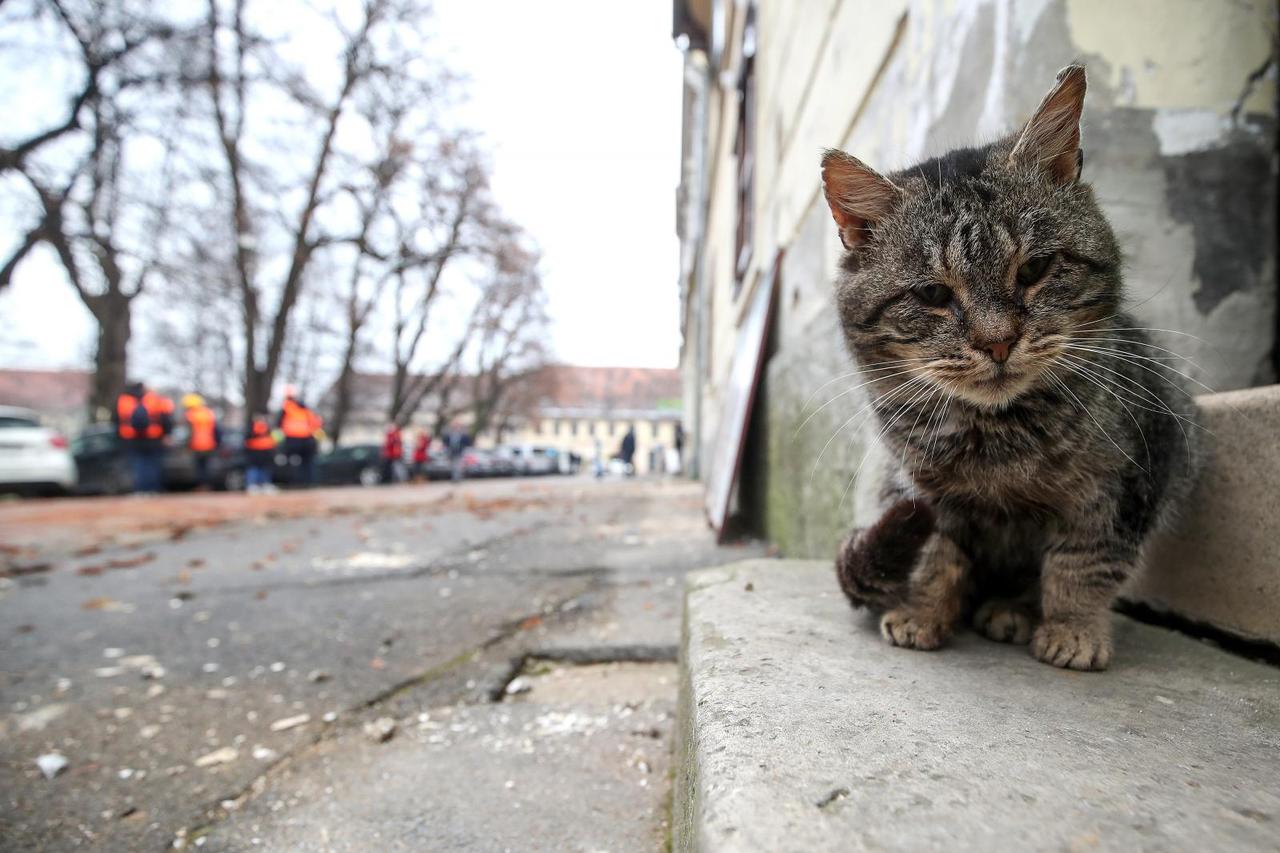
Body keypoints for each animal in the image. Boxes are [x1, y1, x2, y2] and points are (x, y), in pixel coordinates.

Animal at [819, 63, 1198, 666]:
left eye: (1035, 269)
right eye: (932, 294)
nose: (997, 342)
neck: (998, 440)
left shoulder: (1126, 479)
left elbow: (1083, 563)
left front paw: (1073, 631)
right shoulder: (918, 492)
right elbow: (933, 560)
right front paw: (921, 615)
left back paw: (1012, 611)